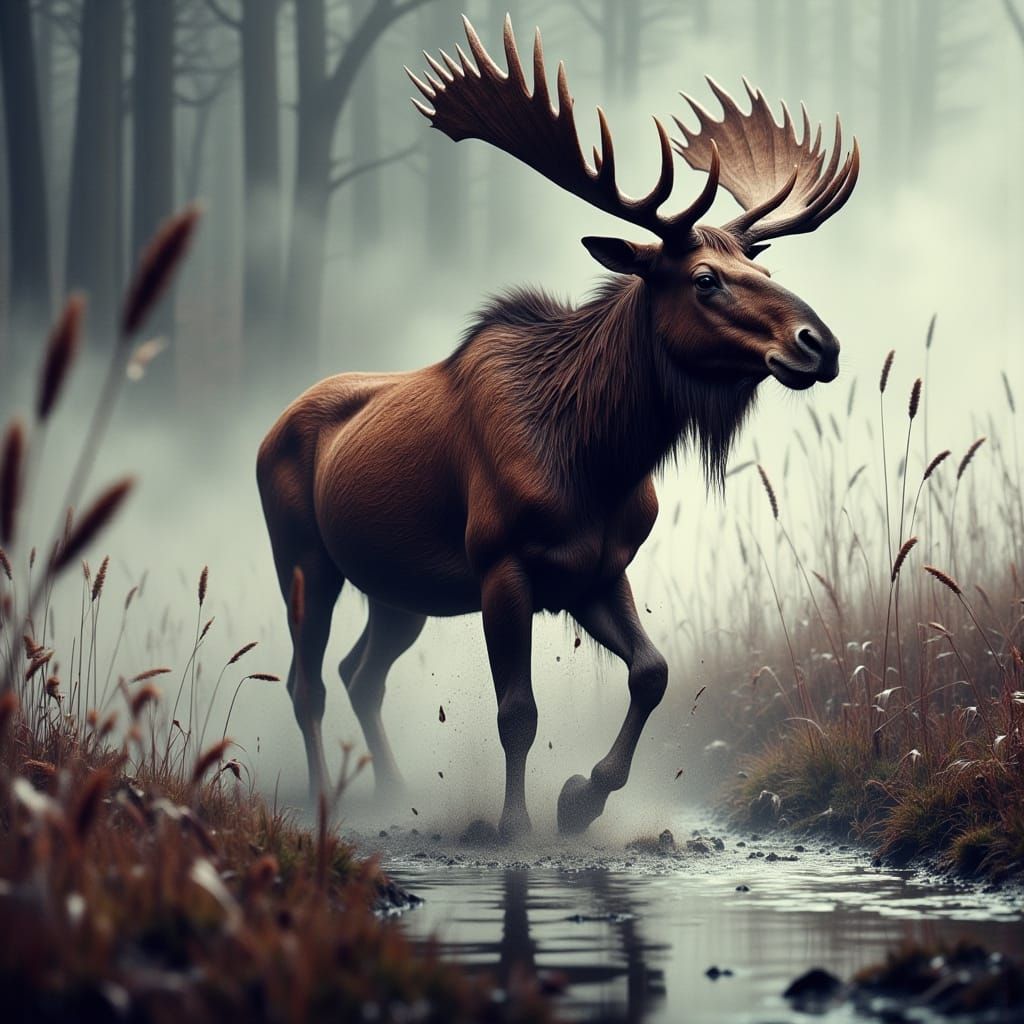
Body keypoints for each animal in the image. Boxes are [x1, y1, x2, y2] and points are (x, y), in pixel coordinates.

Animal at [257, 16, 859, 839]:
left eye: (765, 272)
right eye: (705, 280)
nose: (819, 344)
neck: (596, 458)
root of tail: (269, 430)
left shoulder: (598, 568)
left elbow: (652, 672)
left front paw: (580, 798)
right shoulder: (500, 566)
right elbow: (518, 711)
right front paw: (515, 824)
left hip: (394, 588)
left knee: (360, 673)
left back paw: (392, 787)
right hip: (304, 557)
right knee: (306, 681)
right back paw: (331, 796)